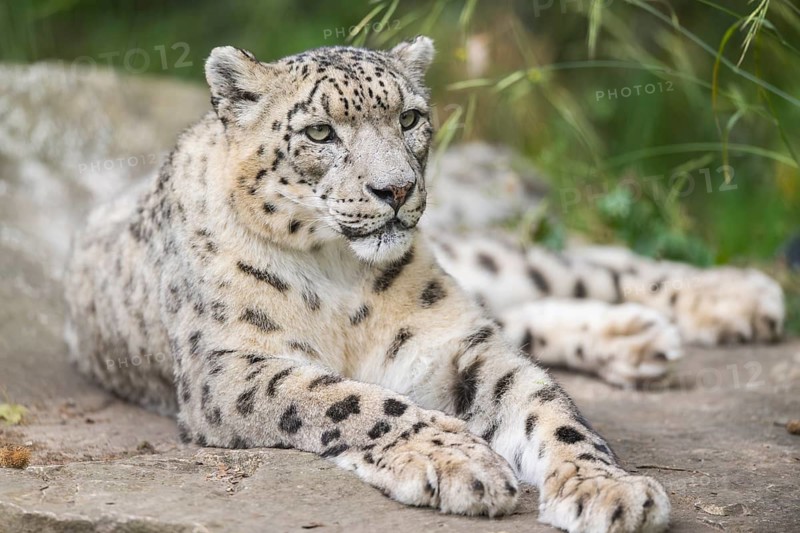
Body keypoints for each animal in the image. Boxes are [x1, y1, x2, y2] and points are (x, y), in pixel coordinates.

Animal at [65, 35, 719, 532]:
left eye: (409, 118)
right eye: (320, 133)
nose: (397, 189)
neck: (338, 275)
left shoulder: (455, 342)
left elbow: (546, 408)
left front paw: (607, 488)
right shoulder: (230, 365)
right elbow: (346, 398)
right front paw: (459, 462)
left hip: (483, 267)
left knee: (578, 266)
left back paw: (722, 301)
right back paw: (639, 340)